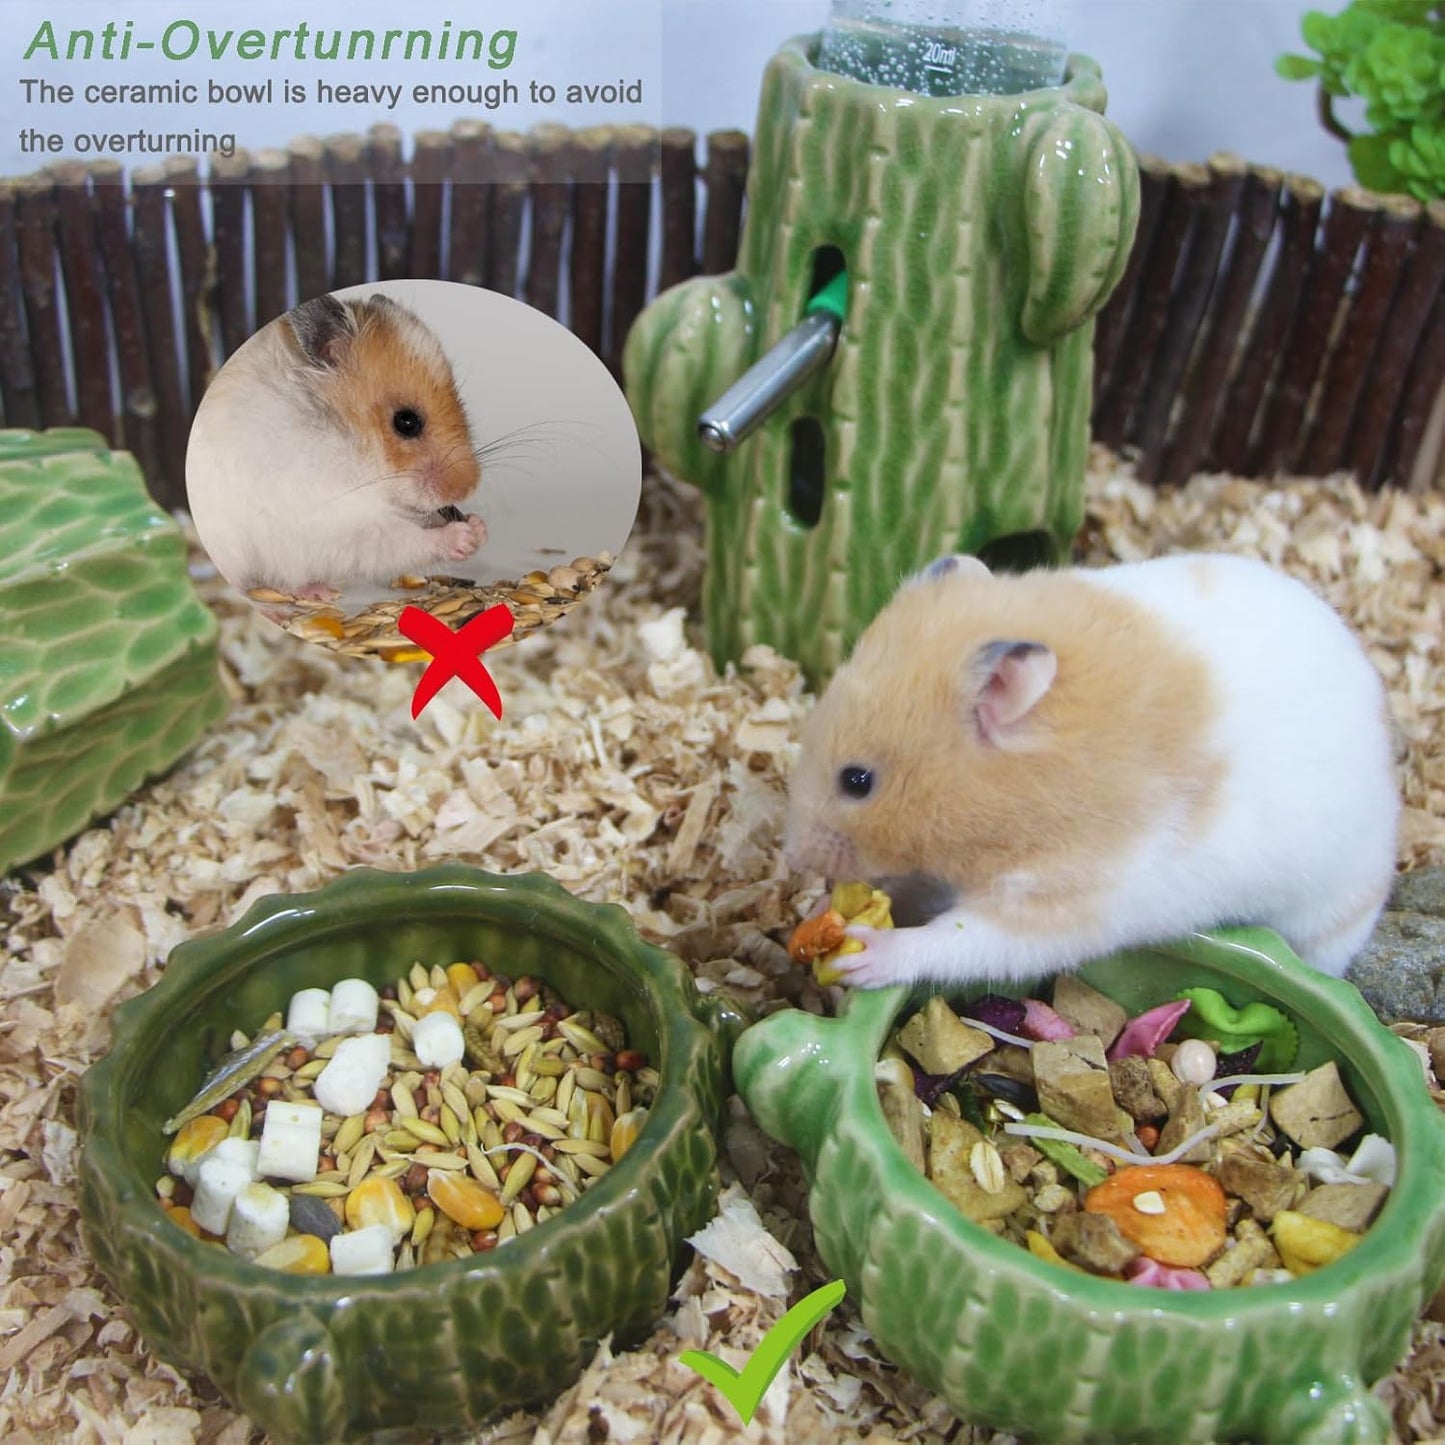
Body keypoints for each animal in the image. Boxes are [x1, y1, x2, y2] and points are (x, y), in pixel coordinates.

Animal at [186, 292, 486, 597]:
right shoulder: (326, 520)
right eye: (406, 422)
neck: (340, 437)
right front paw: (464, 536)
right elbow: (394, 539)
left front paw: (478, 526)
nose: (469, 487)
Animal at [782, 551, 1400, 989]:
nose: (793, 856)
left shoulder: (1067, 899)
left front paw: (866, 955)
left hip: (1327, 913)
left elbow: (961, 941)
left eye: (857, 781)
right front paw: (823, 912)